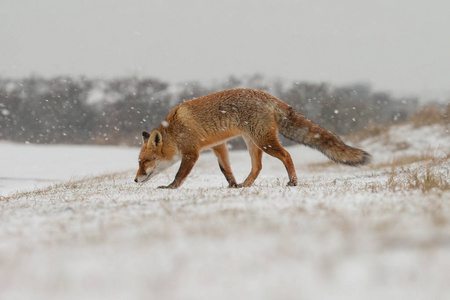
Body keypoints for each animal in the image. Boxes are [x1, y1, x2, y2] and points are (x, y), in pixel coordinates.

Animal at [134, 88, 372, 189]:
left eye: (144, 162)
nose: (135, 180)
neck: (174, 131)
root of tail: (269, 96)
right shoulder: (218, 145)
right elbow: (225, 169)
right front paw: (232, 185)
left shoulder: (192, 152)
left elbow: (179, 174)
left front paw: (171, 187)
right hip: (252, 142)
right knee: (257, 167)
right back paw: (245, 185)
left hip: (263, 142)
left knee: (287, 155)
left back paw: (293, 181)